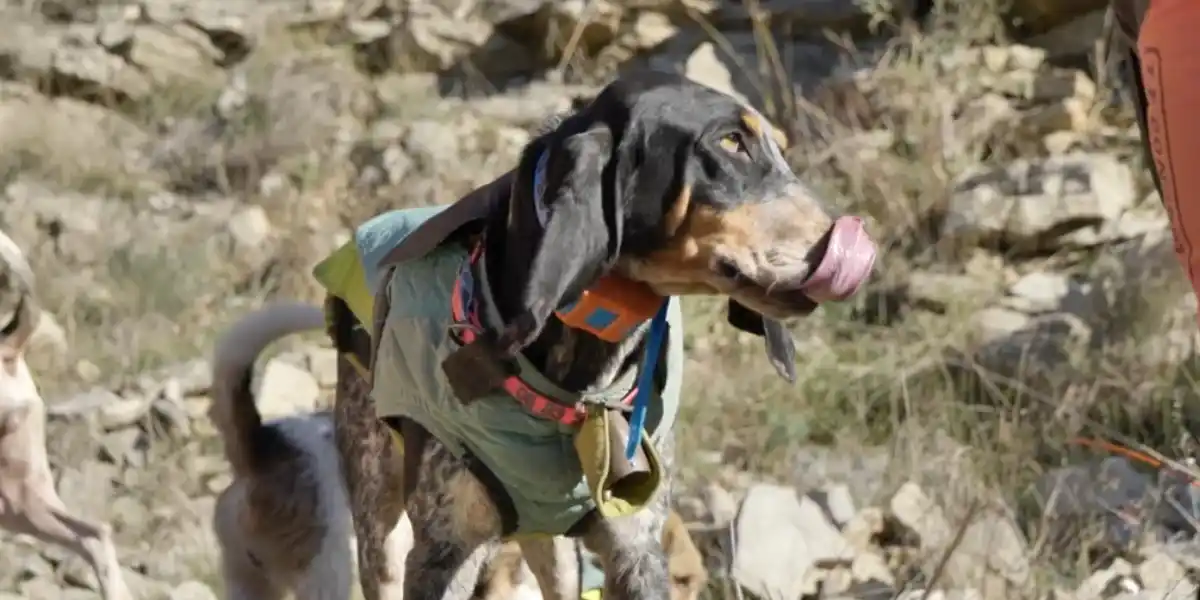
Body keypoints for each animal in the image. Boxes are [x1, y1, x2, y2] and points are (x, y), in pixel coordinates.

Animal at [328, 72, 883, 600]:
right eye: (730, 142)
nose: (859, 240)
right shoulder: (444, 552)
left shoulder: (635, 548)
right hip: (382, 530)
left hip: (553, 552)